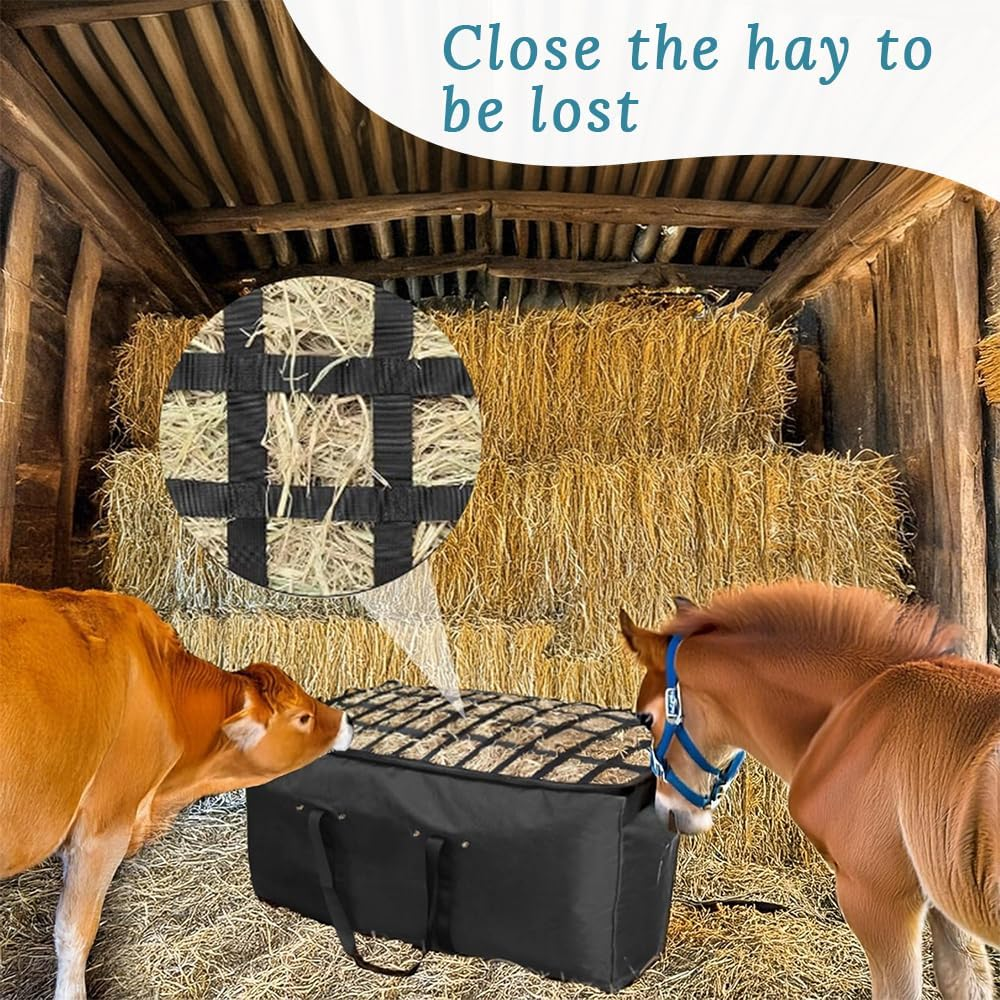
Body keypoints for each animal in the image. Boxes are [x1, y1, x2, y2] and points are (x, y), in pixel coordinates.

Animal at [620, 579, 999, 1000]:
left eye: (645, 718)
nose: (667, 811)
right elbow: (963, 980)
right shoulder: (945, 904)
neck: (856, 708)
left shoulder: (878, 899)